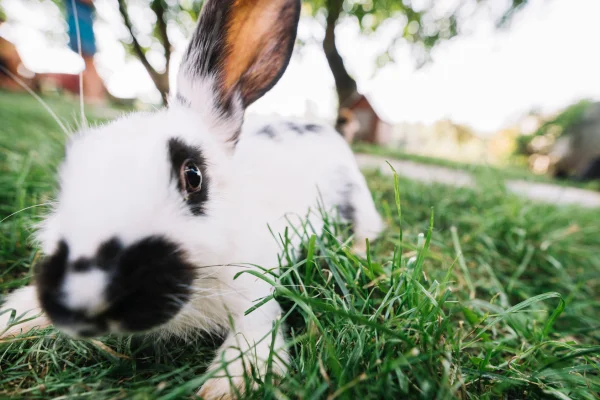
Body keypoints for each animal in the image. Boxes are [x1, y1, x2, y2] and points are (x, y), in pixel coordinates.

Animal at [0, 0, 384, 396]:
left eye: (193, 176)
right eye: (65, 176)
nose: (84, 296)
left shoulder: (256, 292)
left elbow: (258, 327)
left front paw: (227, 386)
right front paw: (10, 320)